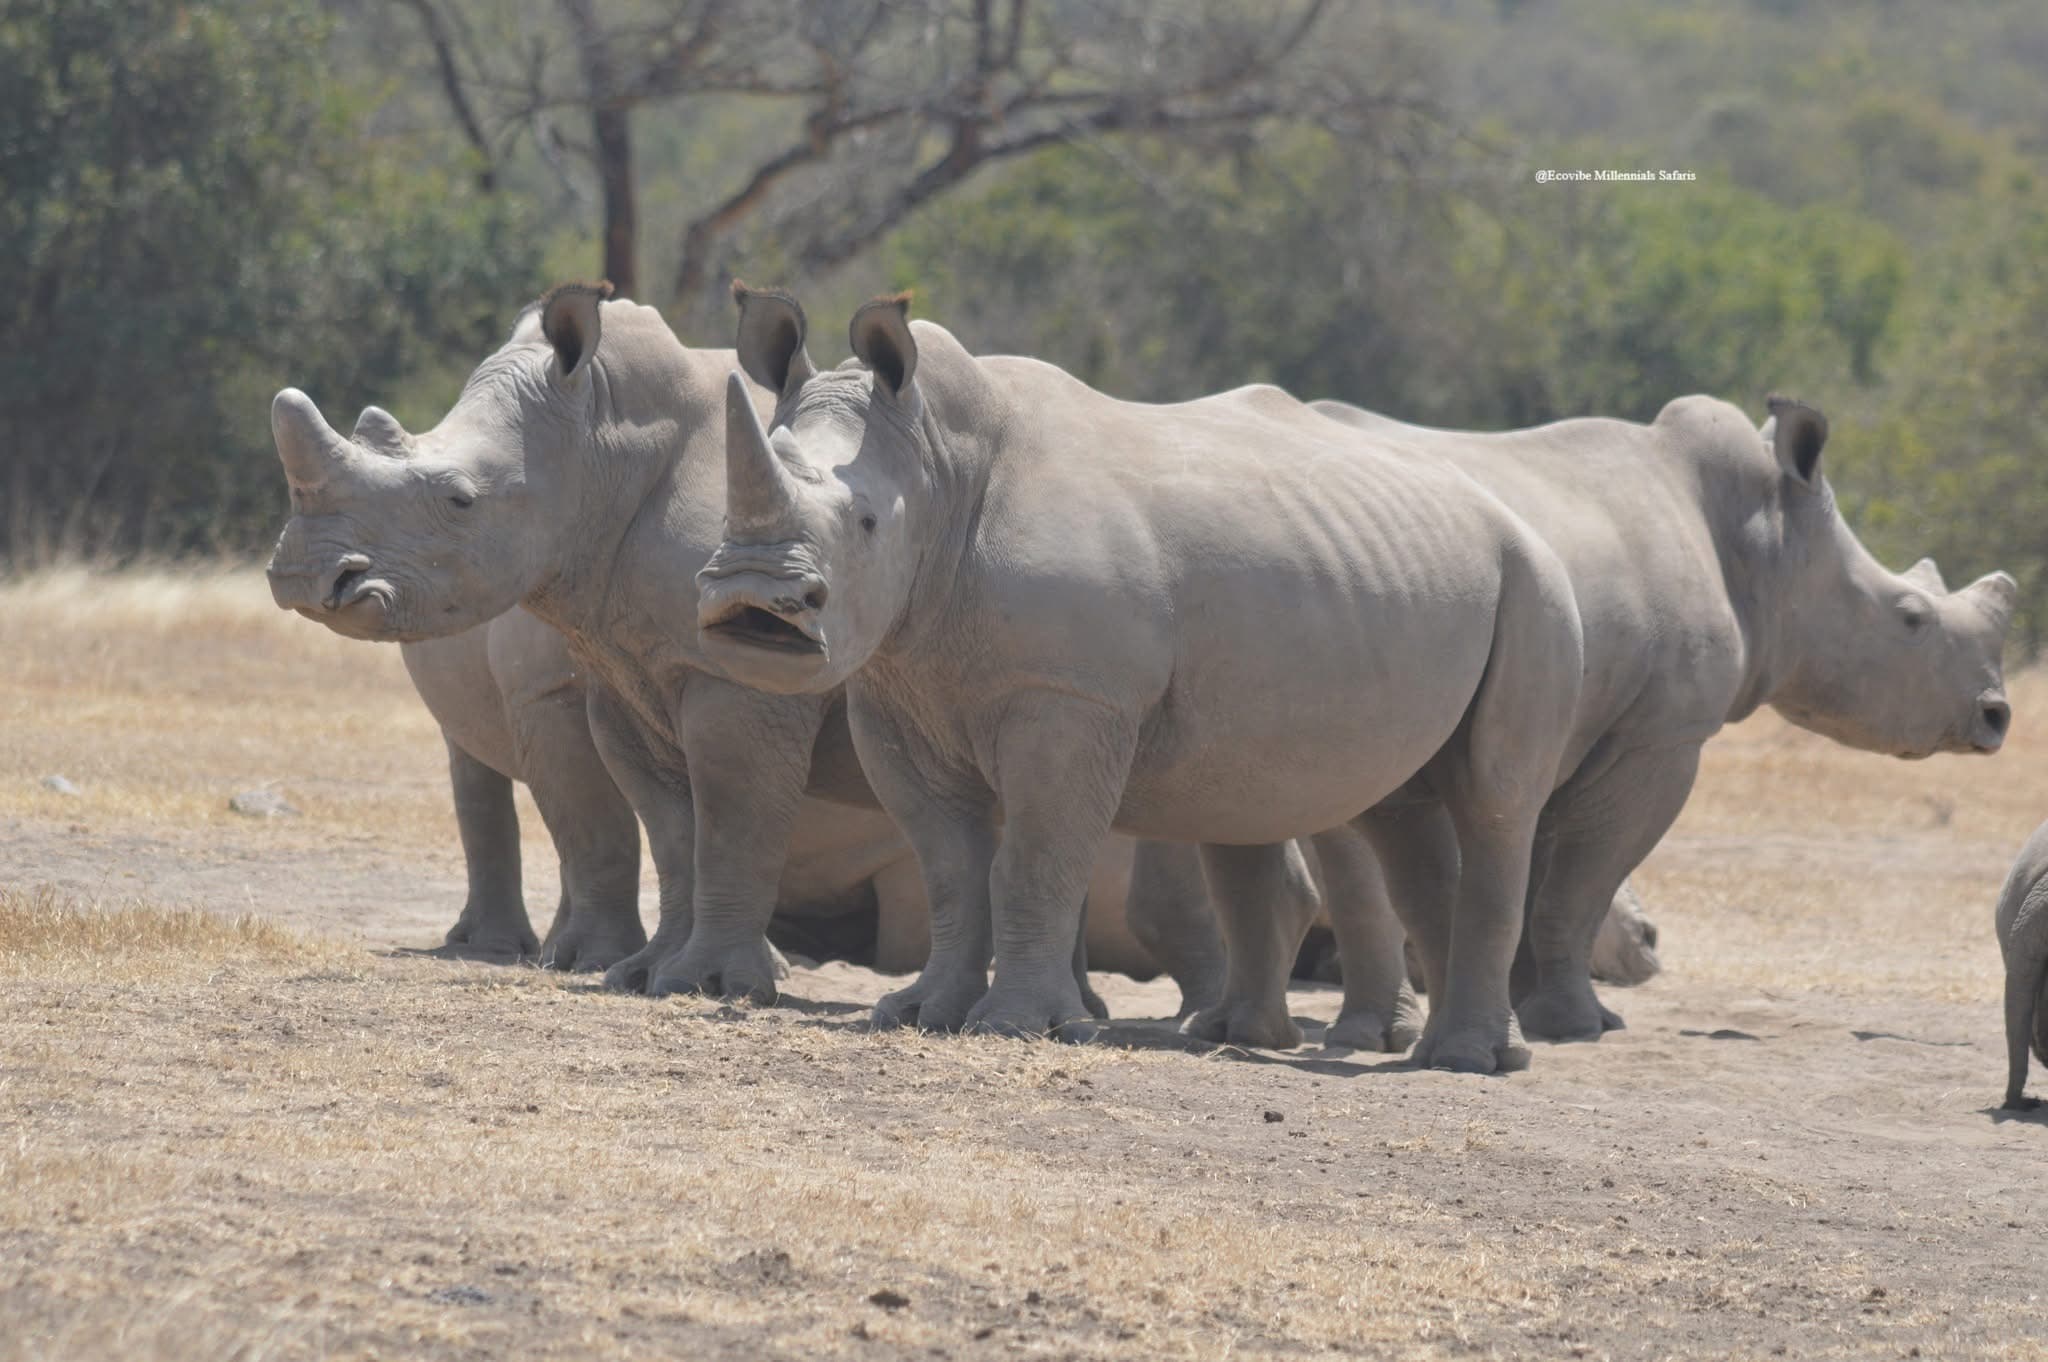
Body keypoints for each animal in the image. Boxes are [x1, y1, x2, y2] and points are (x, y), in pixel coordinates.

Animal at [690, 289, 1585, 1073]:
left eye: (867, 523)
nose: (753, 604)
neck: (938, 464)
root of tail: (1509, 509)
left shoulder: (1070, 697)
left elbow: (1034, 858)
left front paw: (1015, 1026)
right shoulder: (897, 693)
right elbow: (949, 866)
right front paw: (917, 1014)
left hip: (1536, 586)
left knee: (1495, 801)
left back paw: (1469, 1062)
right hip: (1414, 581)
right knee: (1400, 810)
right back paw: (1424, 1051)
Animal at [1302, 396, 2014, 1041]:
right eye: (1911, 618)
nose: (1996, 716)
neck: (1767, 543)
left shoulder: (1577, 731)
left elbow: (1538, 875)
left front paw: (1529, 1011)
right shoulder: (1661, 736)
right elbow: (1580, 888)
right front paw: (1577, 1025)